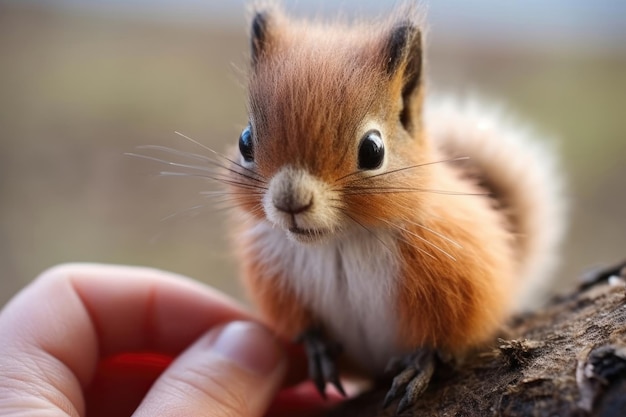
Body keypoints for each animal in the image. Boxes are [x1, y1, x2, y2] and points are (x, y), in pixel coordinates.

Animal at [219, 1, 564, 412]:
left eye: (372, 150)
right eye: (245, 141)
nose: (290, 202)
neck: (340, 240)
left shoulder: (459, 280)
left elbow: (438, 342)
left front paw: (419, 365)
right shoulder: (277, 281)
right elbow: (305, 329)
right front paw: (317, 348)